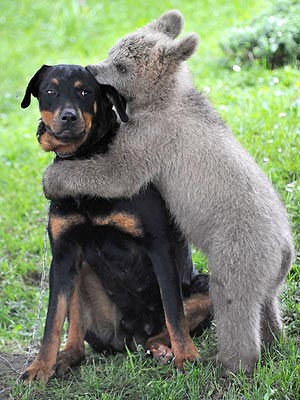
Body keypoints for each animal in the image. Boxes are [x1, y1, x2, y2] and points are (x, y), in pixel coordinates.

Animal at [19, 64, 211, 382]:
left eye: (85, 91)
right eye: (50, 90)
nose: (68, 116)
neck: (84, 162)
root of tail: (130, 338)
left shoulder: (158, 246)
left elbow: (174, 312)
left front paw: (187, 357)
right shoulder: (63, 254)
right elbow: (52, 320)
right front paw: (39, 367)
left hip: (206, 288)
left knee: (161, 331)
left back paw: (163, 350)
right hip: (82, 275)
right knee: (78, 335)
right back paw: (65, 357)